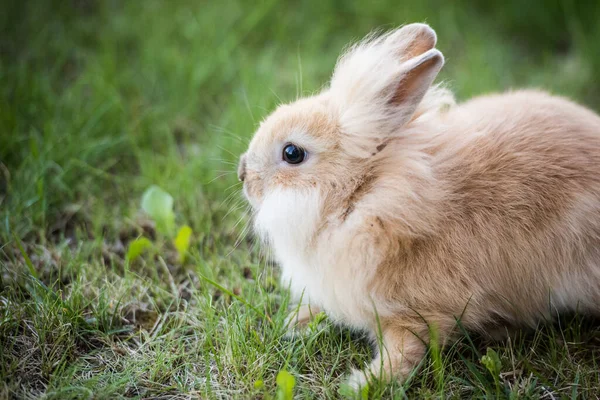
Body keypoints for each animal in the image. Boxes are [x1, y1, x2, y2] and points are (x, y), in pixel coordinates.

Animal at [237, 23, 600, 390]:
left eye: (292, 153)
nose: (242, 173)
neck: (364, 198)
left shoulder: (416, 315)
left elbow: (403, 355)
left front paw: (362, 384)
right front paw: (295, 322)